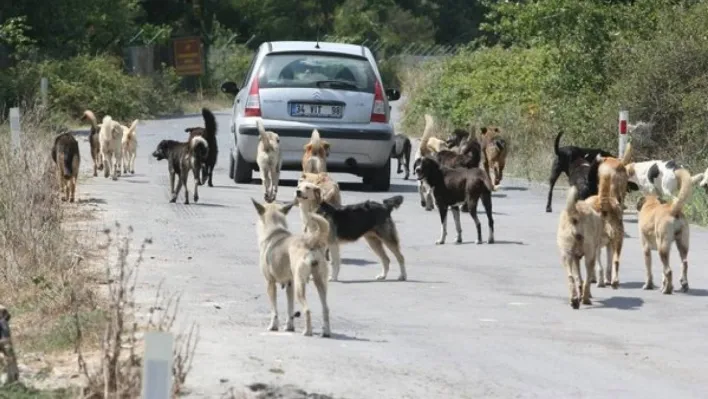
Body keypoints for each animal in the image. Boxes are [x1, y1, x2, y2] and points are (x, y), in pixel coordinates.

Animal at [253, 198, 334, 336]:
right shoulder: (289, 284)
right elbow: (290, 308)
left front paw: (273, 326)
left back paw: (307, 331)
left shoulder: (270, 283)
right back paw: (326, 332)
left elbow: (274, 310)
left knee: (307, 310)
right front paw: (289, 327)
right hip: (320, 283)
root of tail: (311, 242)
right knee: (326, 308)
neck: (274, 230)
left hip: (299, 285)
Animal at [636, 167, 692, 296]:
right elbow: (662, 273)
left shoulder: (646, 249)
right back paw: (683, 284)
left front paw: (648, 285)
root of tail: (673, 210)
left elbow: (649, 271)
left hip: (662, 247)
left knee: (668, 270)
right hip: (680, 245)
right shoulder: (667, 250)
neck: (651, 203)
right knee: (684, 263)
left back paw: (667, 290)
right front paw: (663, 285)